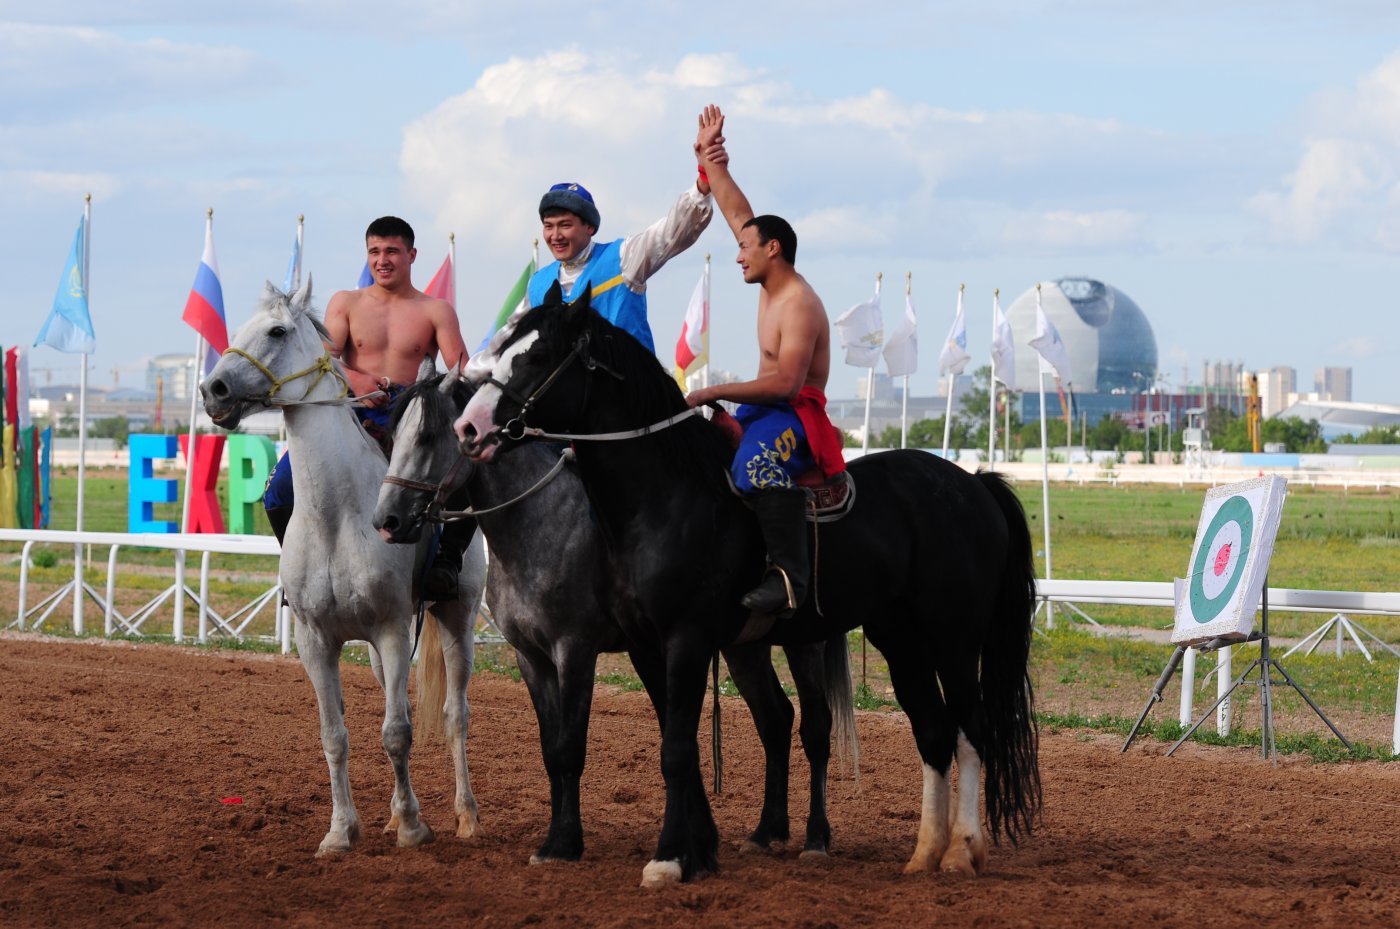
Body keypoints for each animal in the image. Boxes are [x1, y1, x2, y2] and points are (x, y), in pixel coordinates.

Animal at [200, 281, 490, 856]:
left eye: (277, 331)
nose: (213, 390)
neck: (336, 514)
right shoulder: (316, 640)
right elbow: (335, 736)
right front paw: (341, 831)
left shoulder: (393, 630)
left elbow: (397, 734)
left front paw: (414, 827)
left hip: (457, 619)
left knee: (455, 716)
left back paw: (466, 815)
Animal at [372, 363, 851, 861]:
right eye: (393, 433)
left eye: (428, 436)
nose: (387, 520)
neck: (543, 521)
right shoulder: (532, 658)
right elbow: (551, 750)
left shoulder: (575, 652)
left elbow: (572, 747)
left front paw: (567, 841)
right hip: (745, 647)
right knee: (775, 719)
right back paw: (766, 831)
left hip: (803, 643)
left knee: (815, 727)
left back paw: (815, 837)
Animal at [453, 288, 1036, 884]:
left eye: (538, 355)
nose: (469, 429)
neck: (666, 498)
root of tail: (973, 484)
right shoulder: (644, 646)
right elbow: (676, 741)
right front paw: (695, 851)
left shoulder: (677, 641)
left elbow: (675, 751)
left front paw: (667, 859)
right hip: (901, 642)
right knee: (932, 733)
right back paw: (923, 853)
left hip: (952, 640)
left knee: (967, 729)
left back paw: (960, 849)